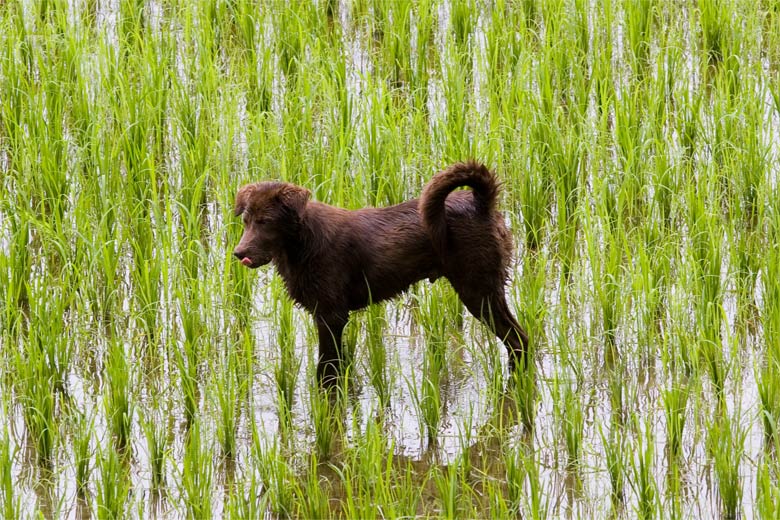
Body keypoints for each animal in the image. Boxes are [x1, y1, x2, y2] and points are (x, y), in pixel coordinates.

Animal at [235, 161, 532, 382]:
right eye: (246, 220)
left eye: (266, 222)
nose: (238, 253)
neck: (301, 242)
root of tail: (482, 204)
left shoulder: (331, 316)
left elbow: (326, 370)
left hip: (479, 290)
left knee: (518, 339)